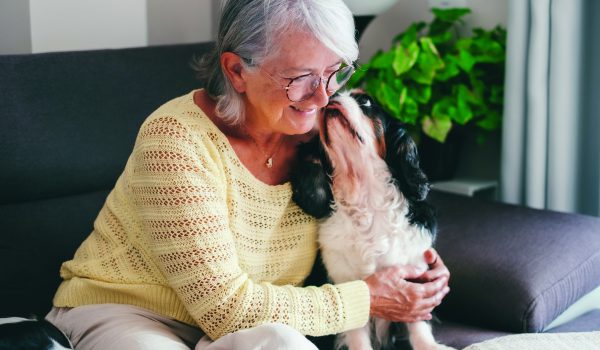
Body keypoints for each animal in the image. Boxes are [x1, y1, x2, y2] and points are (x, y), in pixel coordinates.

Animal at [290, 91, 450, 350]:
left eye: (365, 101)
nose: (332, 95)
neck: (367, 200)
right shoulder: (348, 283)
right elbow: (357, 331)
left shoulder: (416, 273)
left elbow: (417, 324)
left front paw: (429, 346)